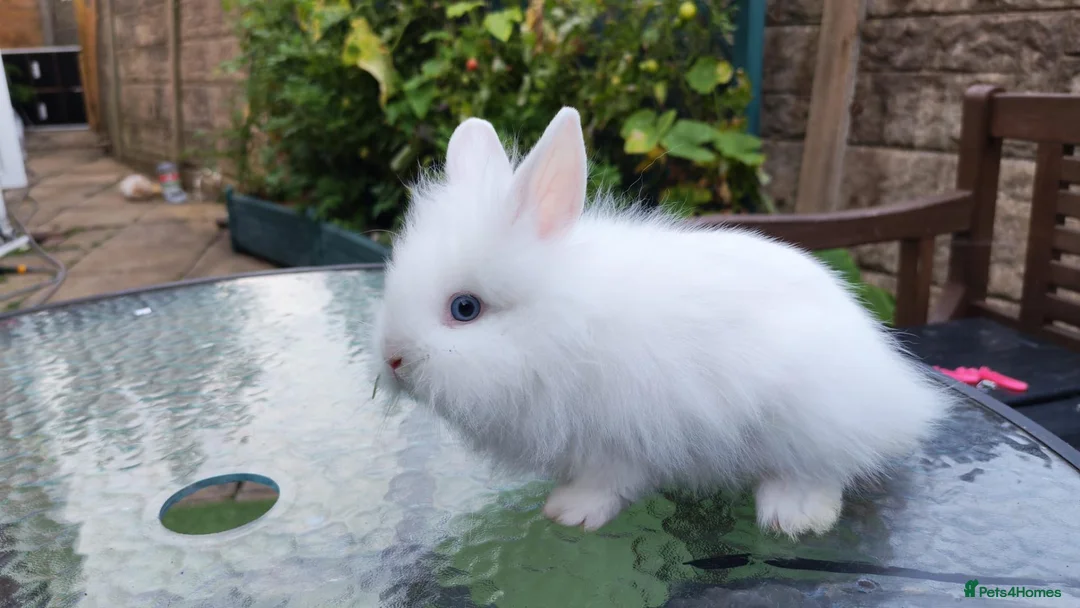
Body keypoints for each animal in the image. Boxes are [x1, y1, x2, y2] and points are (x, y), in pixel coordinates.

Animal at [370, 107, 955, 538]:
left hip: (811, 417)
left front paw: (569, 512)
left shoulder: (621, 433)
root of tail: (897, 389)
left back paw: (793, 516)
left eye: (464, 309)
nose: (394, 359)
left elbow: (609, 481)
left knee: (828, 468)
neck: (561, 323)